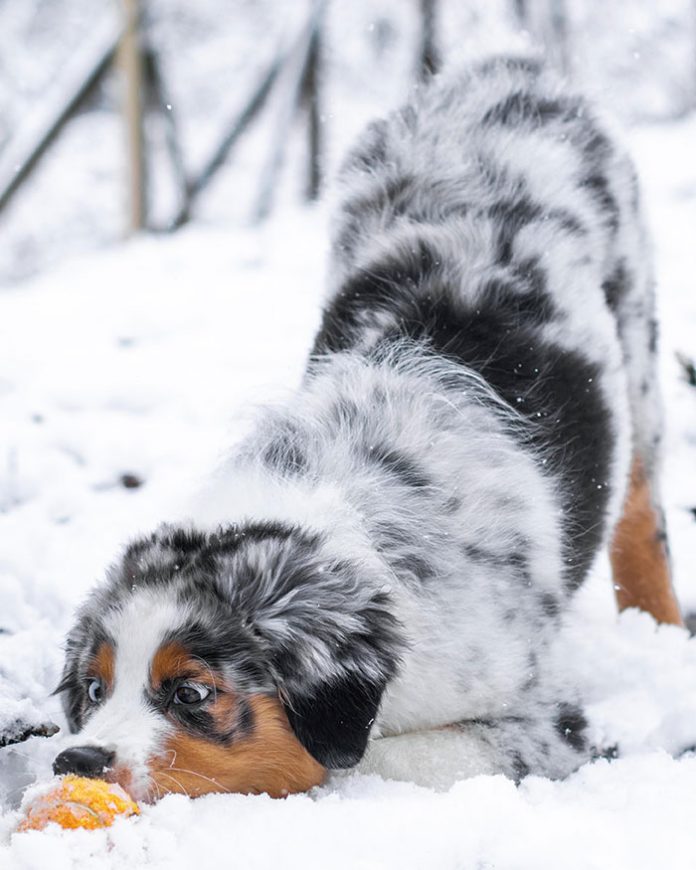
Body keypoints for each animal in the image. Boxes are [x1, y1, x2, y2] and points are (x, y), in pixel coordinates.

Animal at [53, 56, 680, 804]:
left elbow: (371, 764)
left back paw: (661, 627)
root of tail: (501, 69)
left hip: (638, 330)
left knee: (641, 503)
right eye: (95, 688)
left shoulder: (546, 718)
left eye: (191, 694)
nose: (76, 760)